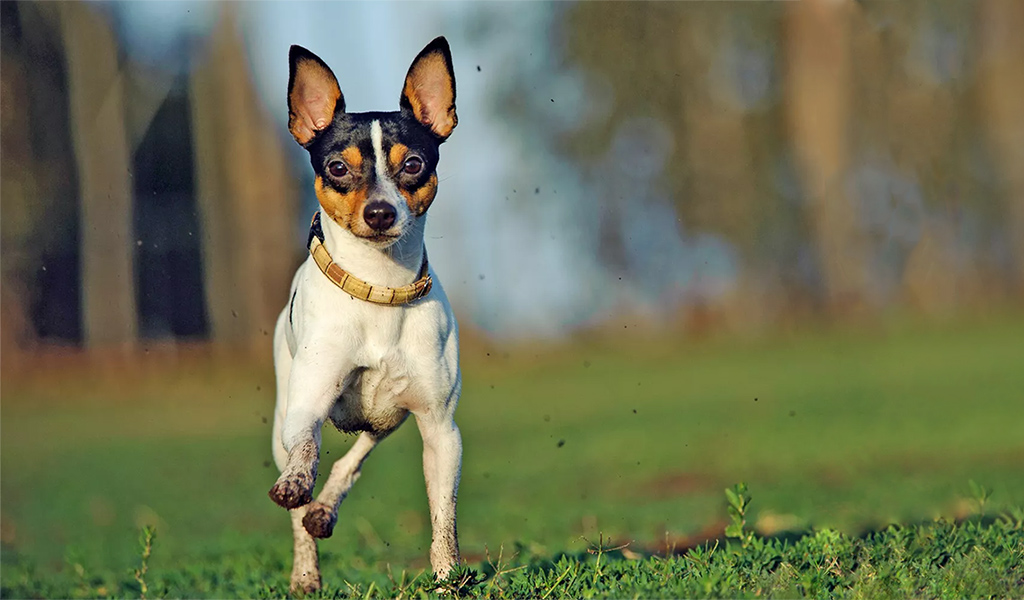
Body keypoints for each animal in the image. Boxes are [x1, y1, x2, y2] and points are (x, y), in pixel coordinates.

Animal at [272, 38, 464, 593]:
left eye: (414, 164)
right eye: (337, 167)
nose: (380, 212)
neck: (381, 291)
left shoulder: (440, 430)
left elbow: (443, 516)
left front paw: (447, 581)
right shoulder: (307, 406)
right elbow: (307, 454)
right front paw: (298, 486)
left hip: (389, 416)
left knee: (356, 458)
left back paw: (326, 509)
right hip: (284, 412)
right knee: (301, 502)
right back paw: (305, 571)